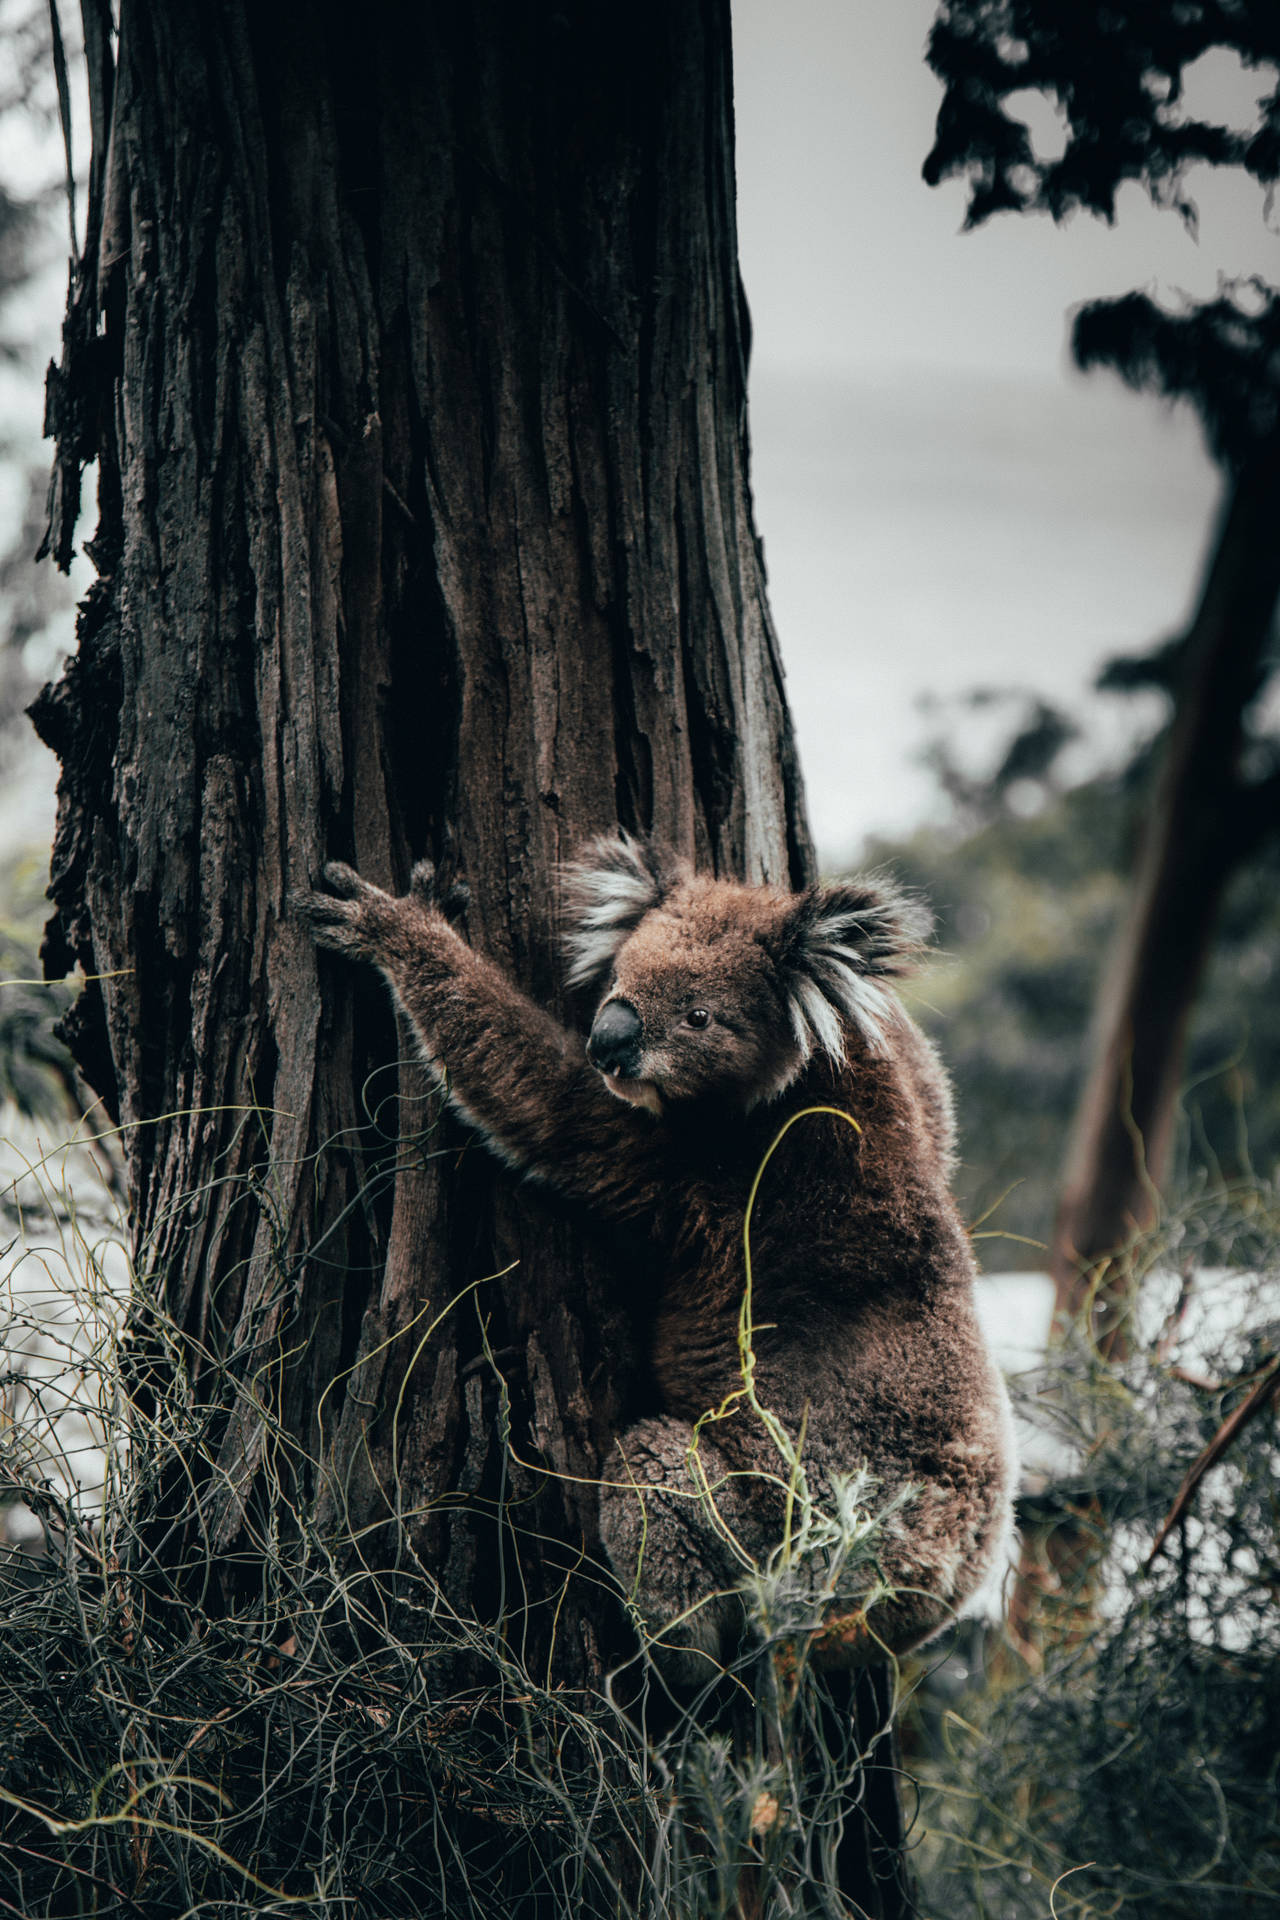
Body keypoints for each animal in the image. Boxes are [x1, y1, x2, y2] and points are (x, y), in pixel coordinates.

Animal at [303, 834, 1016, 1679]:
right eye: (619, 979)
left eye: (698, 1015)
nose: (609, 1042)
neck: (798, 1084)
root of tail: (926, 1592)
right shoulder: (908, 1082)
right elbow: (929, 1083)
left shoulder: (683, 1167)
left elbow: (537, 1099)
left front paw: (391, 920)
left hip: (768, 1534)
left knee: (659, 1491)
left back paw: (659, 1662)